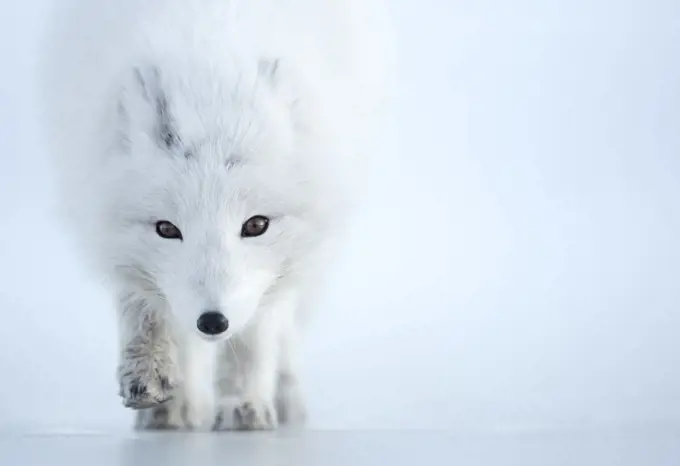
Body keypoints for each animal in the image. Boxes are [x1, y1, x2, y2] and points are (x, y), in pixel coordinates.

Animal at [37, 0, 396, 430]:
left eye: (256, 225)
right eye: (166, 228)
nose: (212, 321)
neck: (208, 61)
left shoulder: (275, 273)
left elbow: (254, 337)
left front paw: (243, 405)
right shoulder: (100, 212)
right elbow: (143, 309)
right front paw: (151, 379)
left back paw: (286, 402)